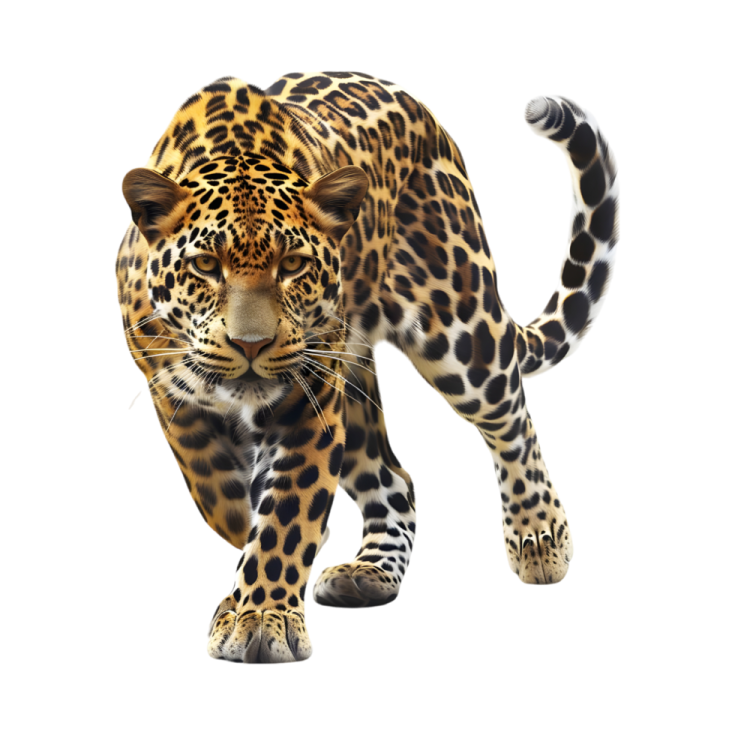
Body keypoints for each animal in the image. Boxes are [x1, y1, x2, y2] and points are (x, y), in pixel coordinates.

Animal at [115, 71, 620, 665]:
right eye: (204, 266)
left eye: (293, 265)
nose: (250, 344)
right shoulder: (171, 397)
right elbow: (218, 490)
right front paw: (249, 558)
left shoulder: (307, 406)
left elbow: (285, 514)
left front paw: (258, 617)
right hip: (355, 386)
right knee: (395, 480)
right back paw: (369, 574)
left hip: (461, 331)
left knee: (510, 419)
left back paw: (538, 539)